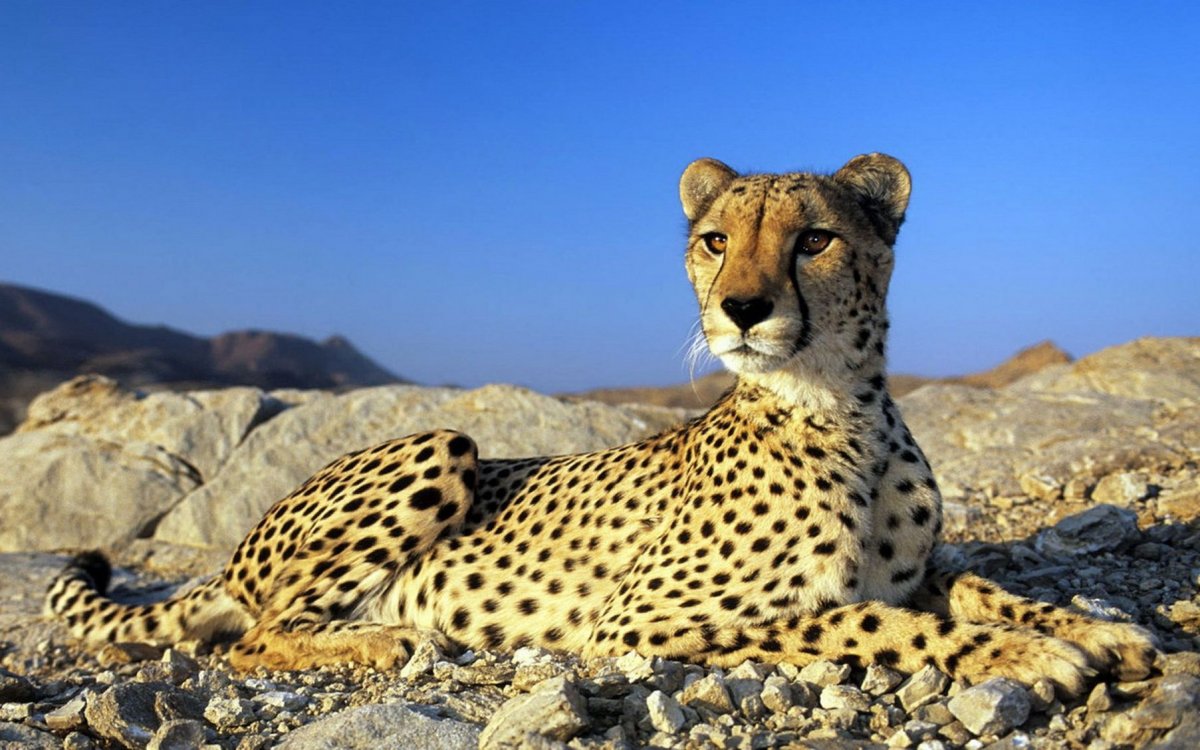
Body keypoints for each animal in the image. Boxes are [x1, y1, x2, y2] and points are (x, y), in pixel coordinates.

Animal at [47, 153, 1157, 697]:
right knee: (252, 637)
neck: (841, 409)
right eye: (713, 240)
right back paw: (383, 640)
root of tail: (237, 549)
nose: (741, 309)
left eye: (814, 240)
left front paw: (1100, 630)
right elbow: (864, 620)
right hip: (442, 444)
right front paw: (1025, 659)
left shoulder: (916, 565)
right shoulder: (639, 623)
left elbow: (981, 587)